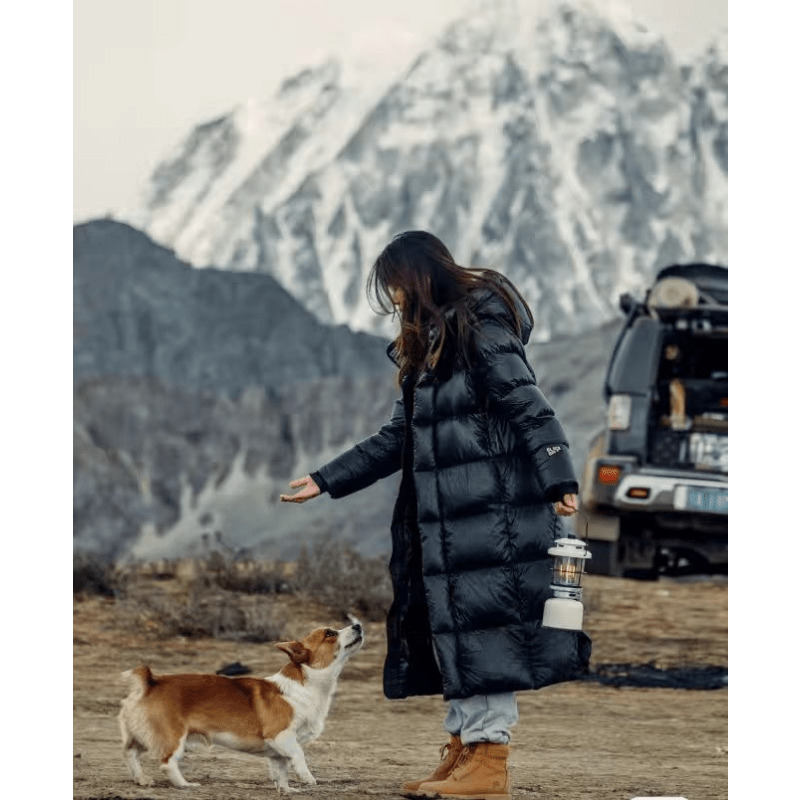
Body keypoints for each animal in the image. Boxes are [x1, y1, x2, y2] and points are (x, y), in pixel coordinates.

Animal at [118, 620, 362, 792]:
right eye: (329, 633)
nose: (358, 625)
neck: (308, 685)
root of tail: (150, 682)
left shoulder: (278, 751)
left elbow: (281, 771)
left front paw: (286, 790)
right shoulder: (282, 736)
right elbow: (299, 756)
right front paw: (307, 778)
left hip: (146, 735)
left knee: (130, 753)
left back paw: (142, 779)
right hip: (174, 737)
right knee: (166, 762)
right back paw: (185, 785)